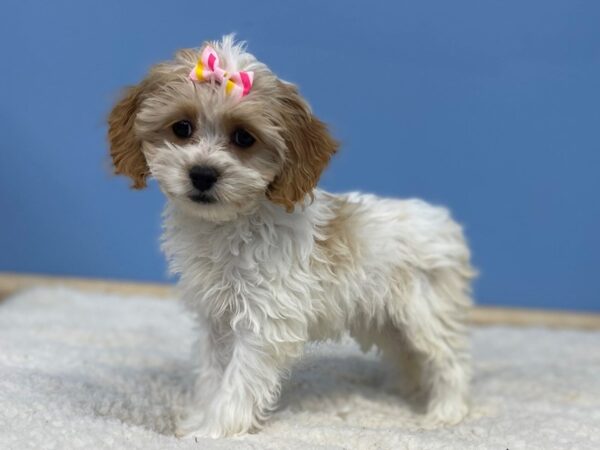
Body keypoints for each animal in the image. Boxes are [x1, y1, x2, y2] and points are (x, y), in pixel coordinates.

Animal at [106, 36, 474, 440]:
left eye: (243, 137)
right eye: (182, 128)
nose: (202, 174)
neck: (229, 225)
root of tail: (442, 221)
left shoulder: (263, 321)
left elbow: (238, 380)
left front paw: (217, 430)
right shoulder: (216, 318)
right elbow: (211, 374)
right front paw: (197, 422)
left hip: (424, 313)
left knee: (449, 360)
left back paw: (445, 413)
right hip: (387, 323)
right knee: (410, 359)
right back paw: (405, 393)